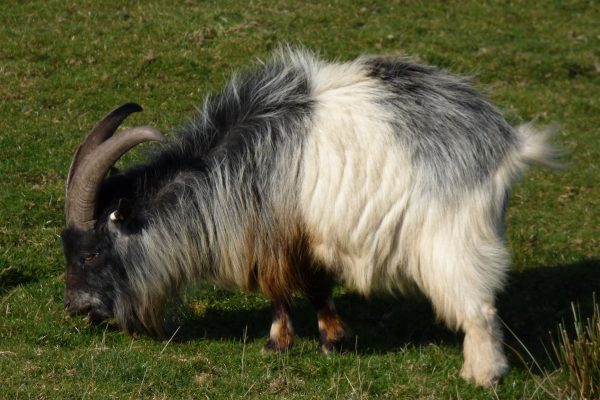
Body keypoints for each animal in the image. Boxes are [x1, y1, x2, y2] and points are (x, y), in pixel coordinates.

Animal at [61, 48, 557, 387]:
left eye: (89, 255)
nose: (73, 307)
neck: (227, 166)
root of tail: (504, 144)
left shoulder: (276, 237)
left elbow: (284, 289)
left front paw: (281, 343)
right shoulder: (303, 239)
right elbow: (315, 288)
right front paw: (331, 339)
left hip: (451, 240)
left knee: (479, 308)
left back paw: (482, 374)